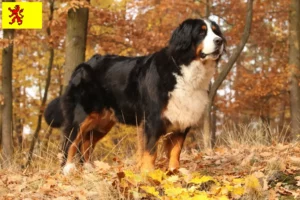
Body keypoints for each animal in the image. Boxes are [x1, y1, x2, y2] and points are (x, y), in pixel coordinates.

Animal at [44, 19, 225, 175]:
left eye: (216, 31)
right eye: (201, 32)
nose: (220, 41)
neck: (183, 70)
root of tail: (83, 64)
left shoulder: (182, 120)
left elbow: (175, 152)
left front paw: (175, 172)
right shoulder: (152, 120)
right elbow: (150, 151)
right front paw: (148, 174)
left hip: (102, 122)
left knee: (87, 143)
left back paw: (88, 169)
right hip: (81, 115)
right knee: (70, 142)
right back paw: (68, 169)